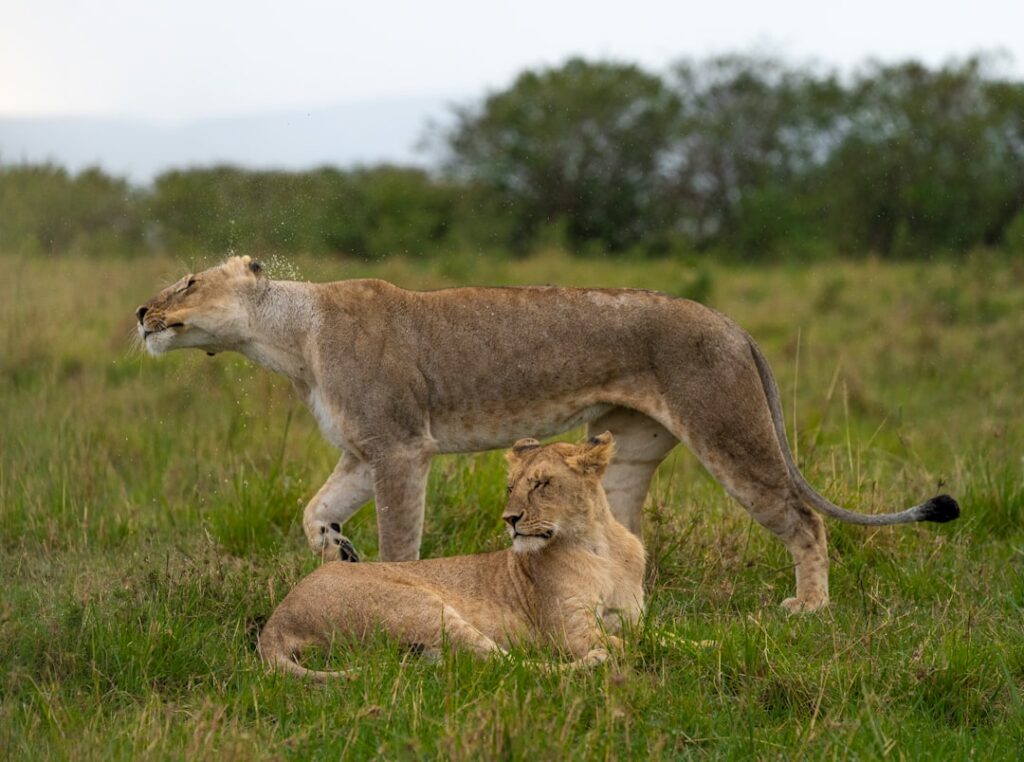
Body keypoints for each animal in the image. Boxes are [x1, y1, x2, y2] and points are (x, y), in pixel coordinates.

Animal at [136, 256, 959, 612]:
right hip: (623, 452)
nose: (141, 313)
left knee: (804, 520)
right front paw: (337, 550)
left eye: (187, 283)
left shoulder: (401, 446)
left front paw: (385, 588)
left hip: (729, 430)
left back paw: (808, 609)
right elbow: (314, 510)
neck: (286, 340)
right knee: (624, 540)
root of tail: (732, 322)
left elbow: (401, 542)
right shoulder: (364, 449)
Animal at [257, 433, 644, 679]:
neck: (599, 547)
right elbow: (627, 643)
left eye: (541, 484)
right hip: (423, 607)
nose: (510, 519)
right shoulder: (570, 634)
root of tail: (277, 619)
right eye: (511, 487)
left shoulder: (631, 616)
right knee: (507, 665)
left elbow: (652, 633)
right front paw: (627, 651)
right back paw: (595, 662)